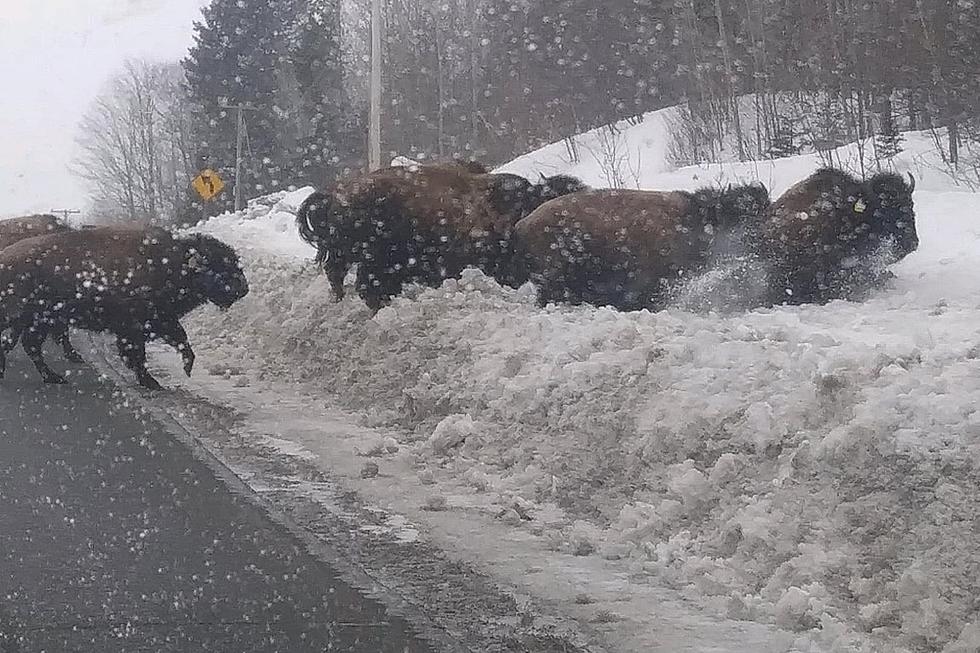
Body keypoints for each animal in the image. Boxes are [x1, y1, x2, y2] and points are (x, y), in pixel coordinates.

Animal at [0, 225, 249, 388]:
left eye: (234, 262)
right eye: (218, 265)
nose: (243, 288)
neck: (172, 262)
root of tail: (6, 258)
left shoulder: (158, 321)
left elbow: (180, 340)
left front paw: (176, 373)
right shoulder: (138, 326)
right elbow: (140, 353)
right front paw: (152, 381)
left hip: (35, 321)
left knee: (26, 345)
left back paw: (52, 377)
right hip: (28, 319)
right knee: (24, 345)